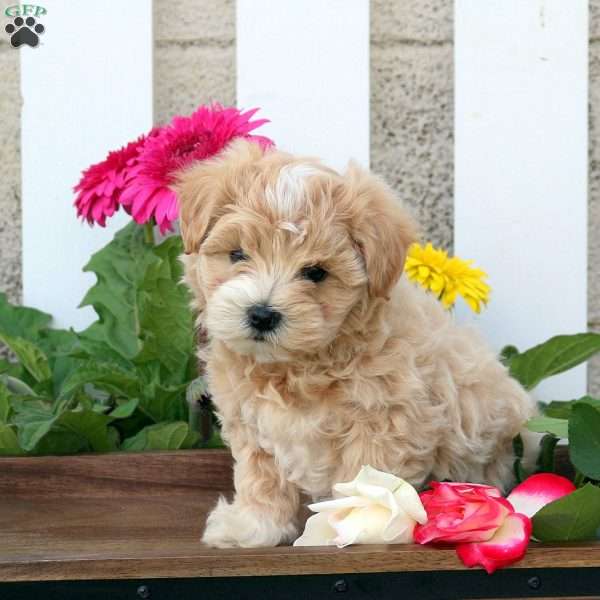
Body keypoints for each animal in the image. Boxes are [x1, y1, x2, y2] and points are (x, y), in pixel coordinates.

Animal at [177, 137, 536, 548]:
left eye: (316, 272)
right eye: (237, 254)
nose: (262, 314)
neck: (296, 366)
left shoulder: (384, 419)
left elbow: (364, 482)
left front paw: (358, 525)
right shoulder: (251, 425)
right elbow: (261, 480)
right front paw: (252, 528)